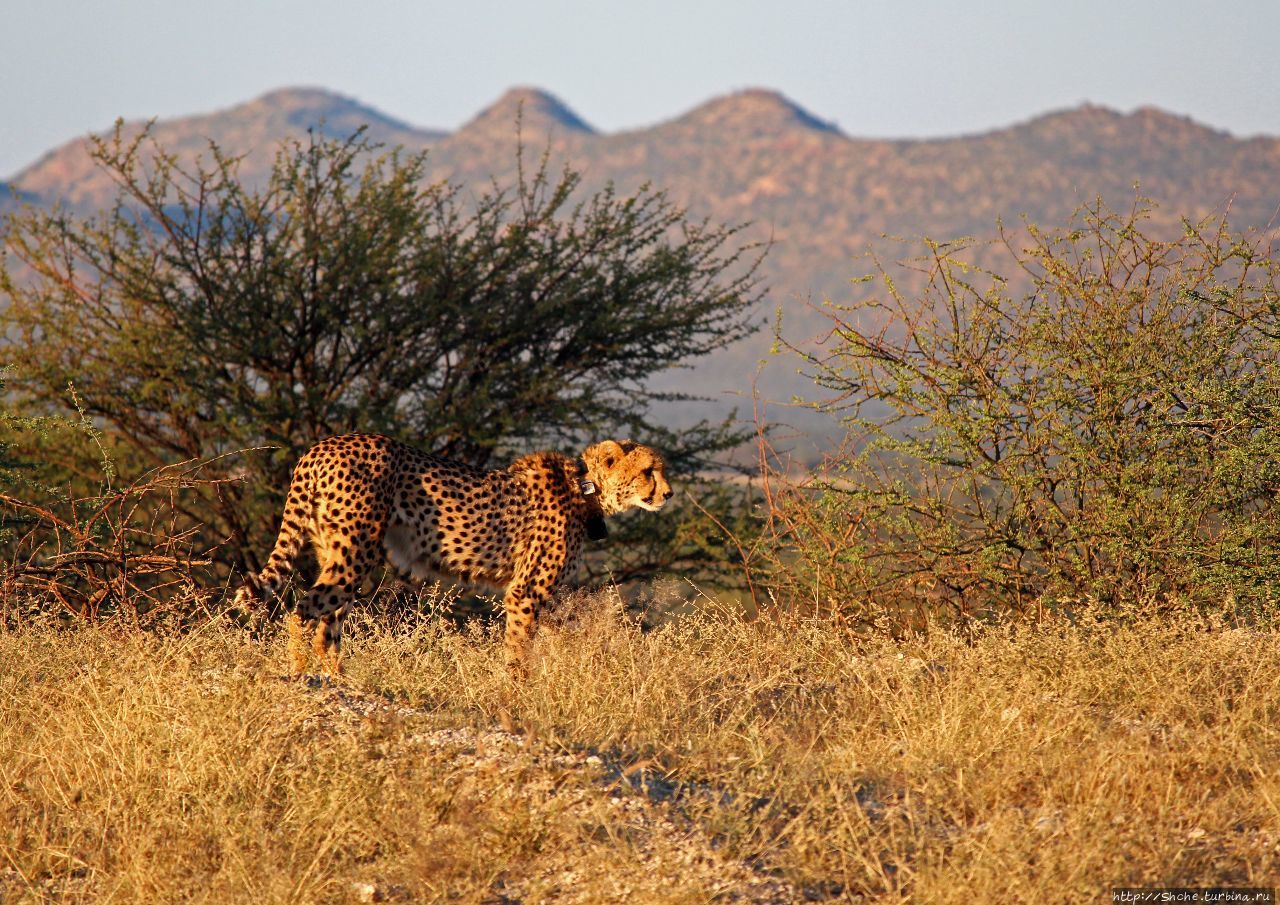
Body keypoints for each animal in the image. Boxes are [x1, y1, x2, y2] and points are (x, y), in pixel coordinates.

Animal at [231, 432, 675, 680]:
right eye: (648, 471)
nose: (669, 493)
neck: (586, 489)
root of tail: (323, 445)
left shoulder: (543, 598)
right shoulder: (526, 592)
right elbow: (519, 651)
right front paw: (516, 695)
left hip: (337, 552)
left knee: (327, 627)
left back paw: (341, 681)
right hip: (356, 552)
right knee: (301, 612)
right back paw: (300, 675)